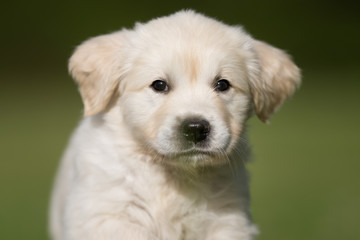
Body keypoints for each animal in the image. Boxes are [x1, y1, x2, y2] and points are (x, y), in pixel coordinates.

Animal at [48, 9, 300, 240]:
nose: (195, 129)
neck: (175, 175)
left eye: (222, 84)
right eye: (159, 85)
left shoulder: (227, 219)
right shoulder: (108, 215)